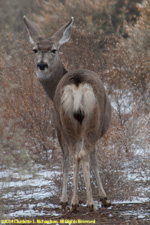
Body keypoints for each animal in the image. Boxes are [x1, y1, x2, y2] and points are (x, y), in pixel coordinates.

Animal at [23, 15, 111, 211]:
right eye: (34, 50)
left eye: (54, 49)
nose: (42, 65)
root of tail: (77, 83)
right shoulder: (64, 128)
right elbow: (89, 158)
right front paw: (102, 197)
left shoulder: (58, 127)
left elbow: (68, 159)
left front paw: (66, 199)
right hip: (88, 121)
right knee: (80, 154)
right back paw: (84, 202)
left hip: (68, 121)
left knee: (74, 154)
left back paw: (77, 202)